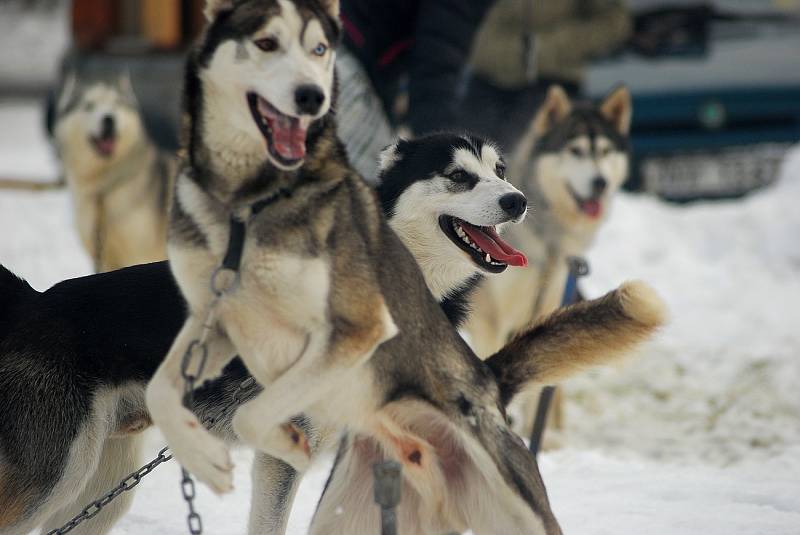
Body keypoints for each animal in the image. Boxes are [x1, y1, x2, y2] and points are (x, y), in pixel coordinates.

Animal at [53, 72, 175, 272]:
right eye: (89, 105)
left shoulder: (139, 253)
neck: (104, 187)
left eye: (116, 103)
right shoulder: (103, 257)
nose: (109, 119)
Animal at [466, 85, 636, 440]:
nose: (600, 183)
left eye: (604, 151)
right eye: (575, 151)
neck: (548, 240)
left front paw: (538, 439)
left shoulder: (544, 306)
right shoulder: (489, 320)